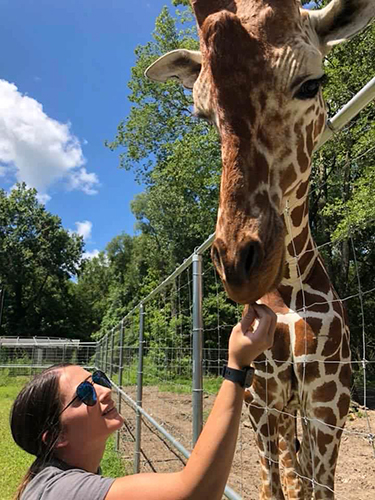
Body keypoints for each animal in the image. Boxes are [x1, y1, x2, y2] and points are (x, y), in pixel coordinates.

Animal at [145, 1, 375, 498]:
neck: (285, 294)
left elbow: (312, 487)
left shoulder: (329, 403)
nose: (238, 262)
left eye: (312, 83)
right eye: (203, 113)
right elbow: (276, 486)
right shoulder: (263, 398)